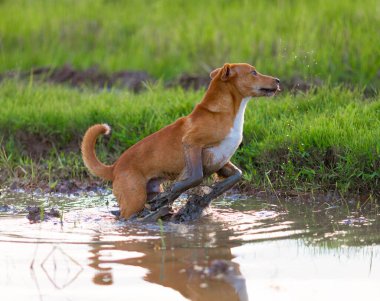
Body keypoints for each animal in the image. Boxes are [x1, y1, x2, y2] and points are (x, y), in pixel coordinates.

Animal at [81, 62, 280, 218]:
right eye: (253, 72)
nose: (278, 80)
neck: (223, 113)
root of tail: (115, 167)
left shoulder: (221, 158)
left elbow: (237, 175)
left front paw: (210, 193)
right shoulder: (191, 143)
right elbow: (195, 176)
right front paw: (172, 196)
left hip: (150, 190)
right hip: (134, 199)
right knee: (128, 217)